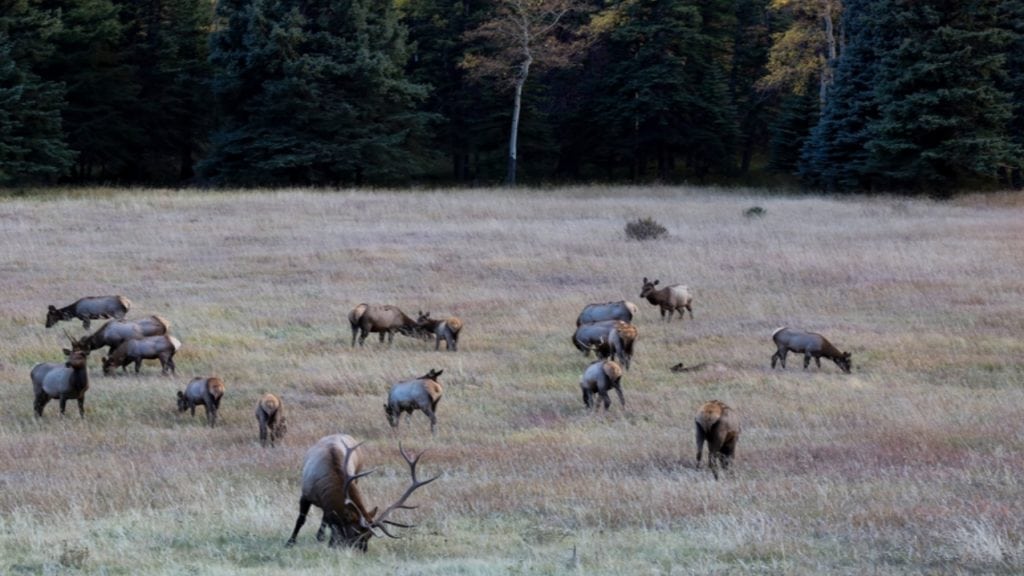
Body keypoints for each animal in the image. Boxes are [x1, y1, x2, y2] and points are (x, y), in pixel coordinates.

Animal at [286, 432, 438, 549]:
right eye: (355, 533)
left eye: (369, 536)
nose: (362, 550)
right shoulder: (305, 495)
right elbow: (301, 519)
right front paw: (290, 542)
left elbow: (329, 520)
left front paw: (327, 540)